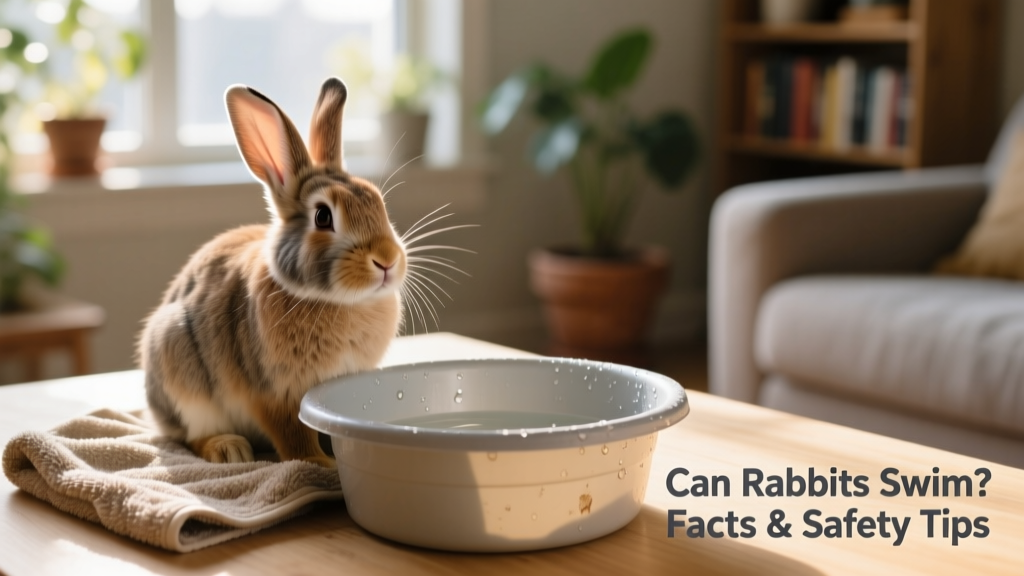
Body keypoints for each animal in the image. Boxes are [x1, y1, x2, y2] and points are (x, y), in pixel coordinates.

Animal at [139, 77, 406, 468]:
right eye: (322, 216)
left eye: (378, 201)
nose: (386, 260)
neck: (339, 302)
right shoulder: (272, 393)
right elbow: (293, 435)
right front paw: (320, 463)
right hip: (178, 367)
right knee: (189, 437)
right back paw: (228, 449)